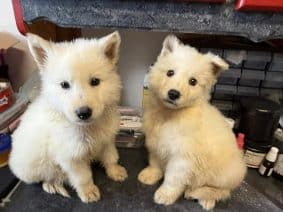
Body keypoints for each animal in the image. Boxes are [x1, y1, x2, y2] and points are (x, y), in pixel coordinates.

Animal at [8, 31, 128, 202]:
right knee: (43, 177)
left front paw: (115, 171)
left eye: (95, 81)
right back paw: (53, 184)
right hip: (32, 167)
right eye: (64, 85)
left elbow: (110, 157)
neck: (88, 127)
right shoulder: (71, 156)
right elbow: (83, 177)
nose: (83, 113)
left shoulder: (107, 140)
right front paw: (88, 192)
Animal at [139, 35, 247, 210]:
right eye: (170, 72)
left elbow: (172, 179)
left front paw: (165, 195)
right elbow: (155, 162)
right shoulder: (156, 144)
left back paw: (200, 195)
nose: (173, 94)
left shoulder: (183, 158)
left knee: (223, 191)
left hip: (226, 174)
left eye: (193, 81)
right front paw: (150, 175)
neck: (170, 115)